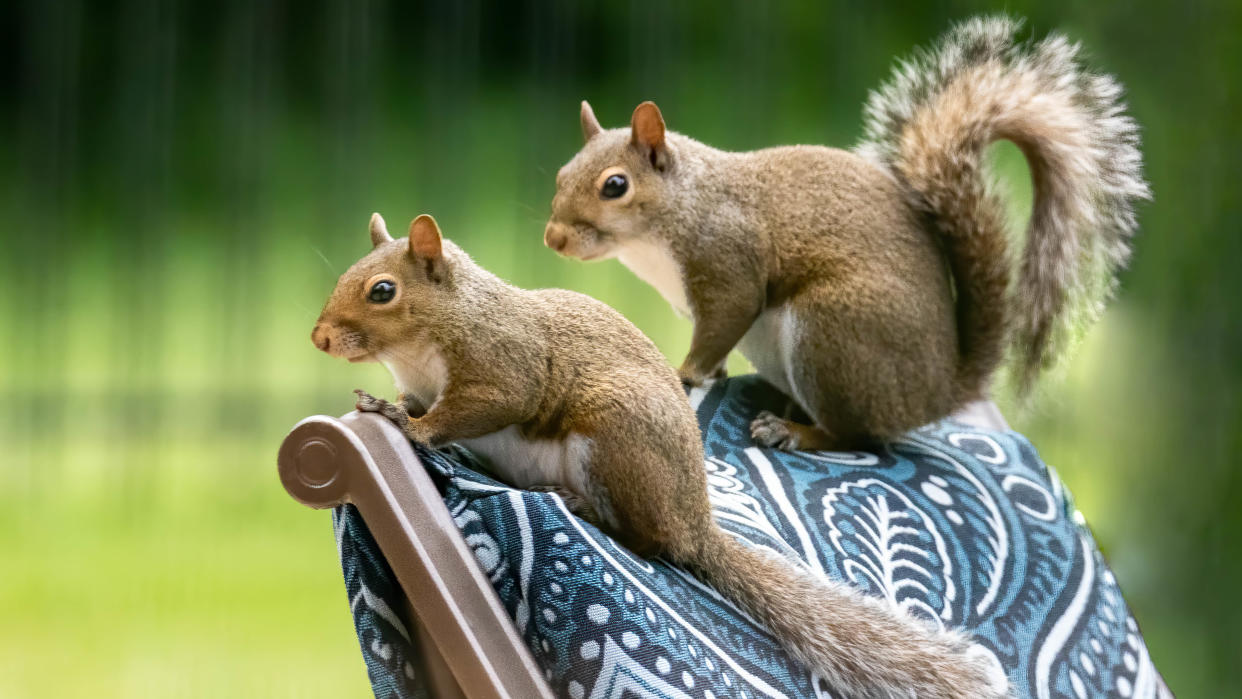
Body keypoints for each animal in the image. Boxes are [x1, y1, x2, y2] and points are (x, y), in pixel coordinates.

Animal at [308, 213, 1008, 699]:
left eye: (382, 291)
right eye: (344, 275)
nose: (317, 337)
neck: (433, 337)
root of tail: (695, 519)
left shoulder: (503, 368)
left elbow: (470, 411)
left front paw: (407, 425)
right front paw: (386, 401)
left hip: (615, 438)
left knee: (649, 539)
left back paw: (583, 505)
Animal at [548, 17, 1147, 454]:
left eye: (615, 186)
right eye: (560, 173)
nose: (553, 240)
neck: (674, 214)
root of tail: (936, 392)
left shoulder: (727, 262)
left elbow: (722, 323)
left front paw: (685, 374)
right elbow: (714, 345)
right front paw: (709, 372)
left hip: (833, 333)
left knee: (855, 435)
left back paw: (795, 430)